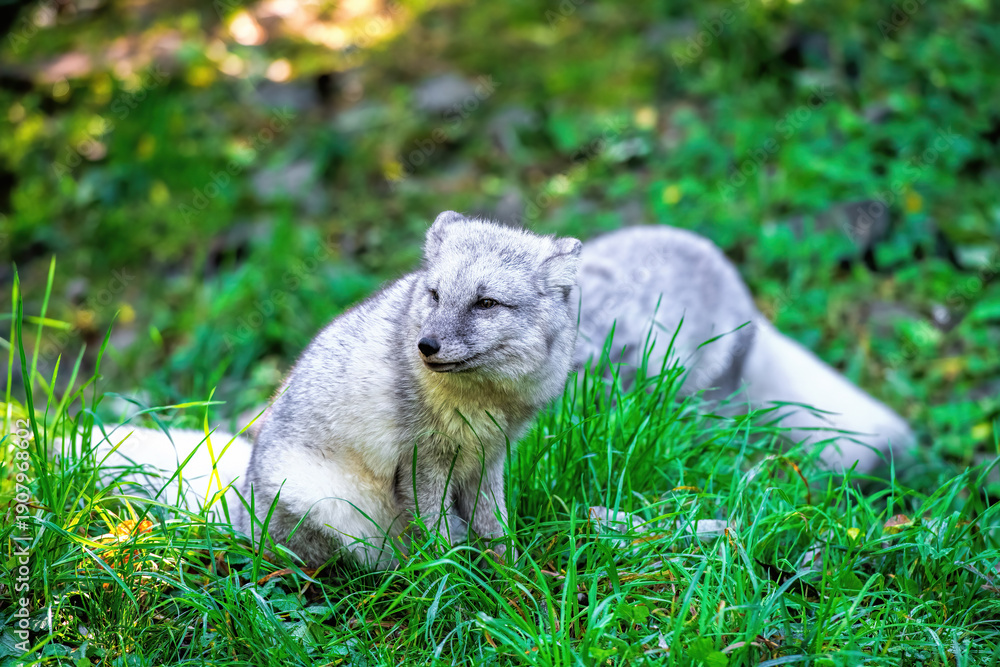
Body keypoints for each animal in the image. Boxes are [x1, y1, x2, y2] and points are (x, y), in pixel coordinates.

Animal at [96, 212, 913, 568]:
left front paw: (504, 566)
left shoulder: (491, 455)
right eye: (433, 296)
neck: (483, 402)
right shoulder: (423, 460)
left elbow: (492, 524)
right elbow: (443, 531)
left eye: (486, 303)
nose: (425, 346)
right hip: (336, 505)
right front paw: (465, 577)